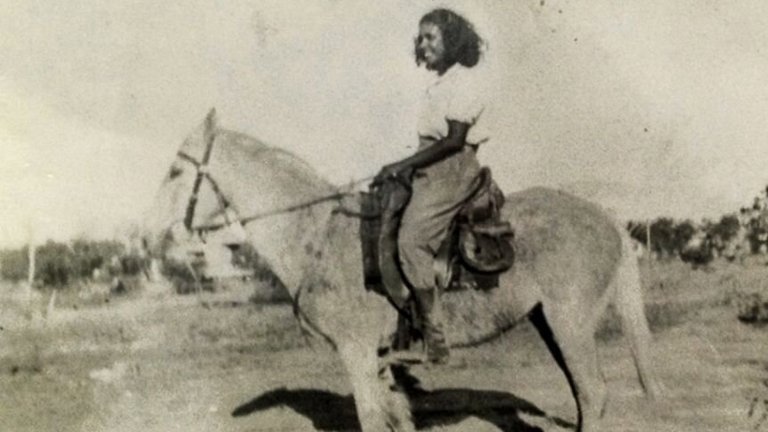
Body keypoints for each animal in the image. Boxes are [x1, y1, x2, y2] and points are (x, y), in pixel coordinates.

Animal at [142, 110, 660, 432]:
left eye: (174, 172)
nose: (146, 237)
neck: (317, 234)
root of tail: (604, 214)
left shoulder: (355, 352)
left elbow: (371, 419)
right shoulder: (379, 358)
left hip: (568, 321)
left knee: (592, 394)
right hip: (549, 321)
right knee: (583, 395)